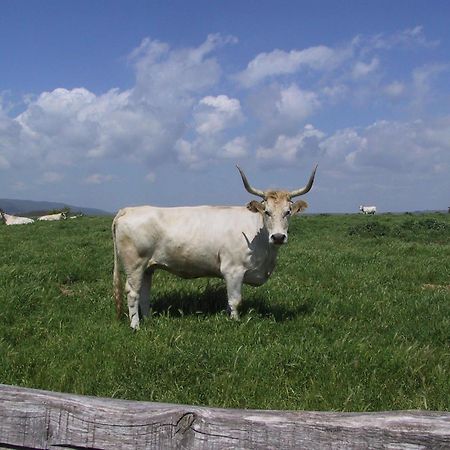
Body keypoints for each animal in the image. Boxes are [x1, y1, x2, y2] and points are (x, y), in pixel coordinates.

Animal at [112, 163, 316, 328]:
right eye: (266, 211)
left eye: (288, 212)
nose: (279, 237)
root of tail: (128, 209)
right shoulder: (233, 271)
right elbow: (235, 301)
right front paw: (235, 322)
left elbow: (229, 301)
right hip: (135, 264)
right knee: (133, 292)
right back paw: (136, 326)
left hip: (148, 267)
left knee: (144, 293)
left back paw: (148, 319)